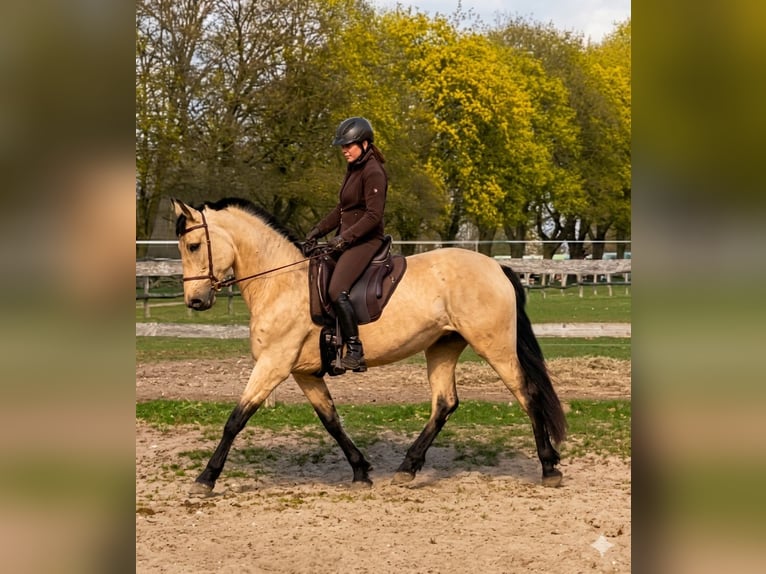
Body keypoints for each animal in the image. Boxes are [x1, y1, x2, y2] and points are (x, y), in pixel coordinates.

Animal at [171, 197, 567, 495]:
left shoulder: (273, 363)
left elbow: (236, 419)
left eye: (193, 246)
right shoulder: (304, 373)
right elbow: (331, 420)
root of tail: (496, 267)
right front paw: (360, 471)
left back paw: (549, 467)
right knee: (444, 404)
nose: (195, 301)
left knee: (527, 393)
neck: (280, 282)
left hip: (494, 345)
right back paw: (407, 468)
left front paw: (206, 478)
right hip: (443, 346)